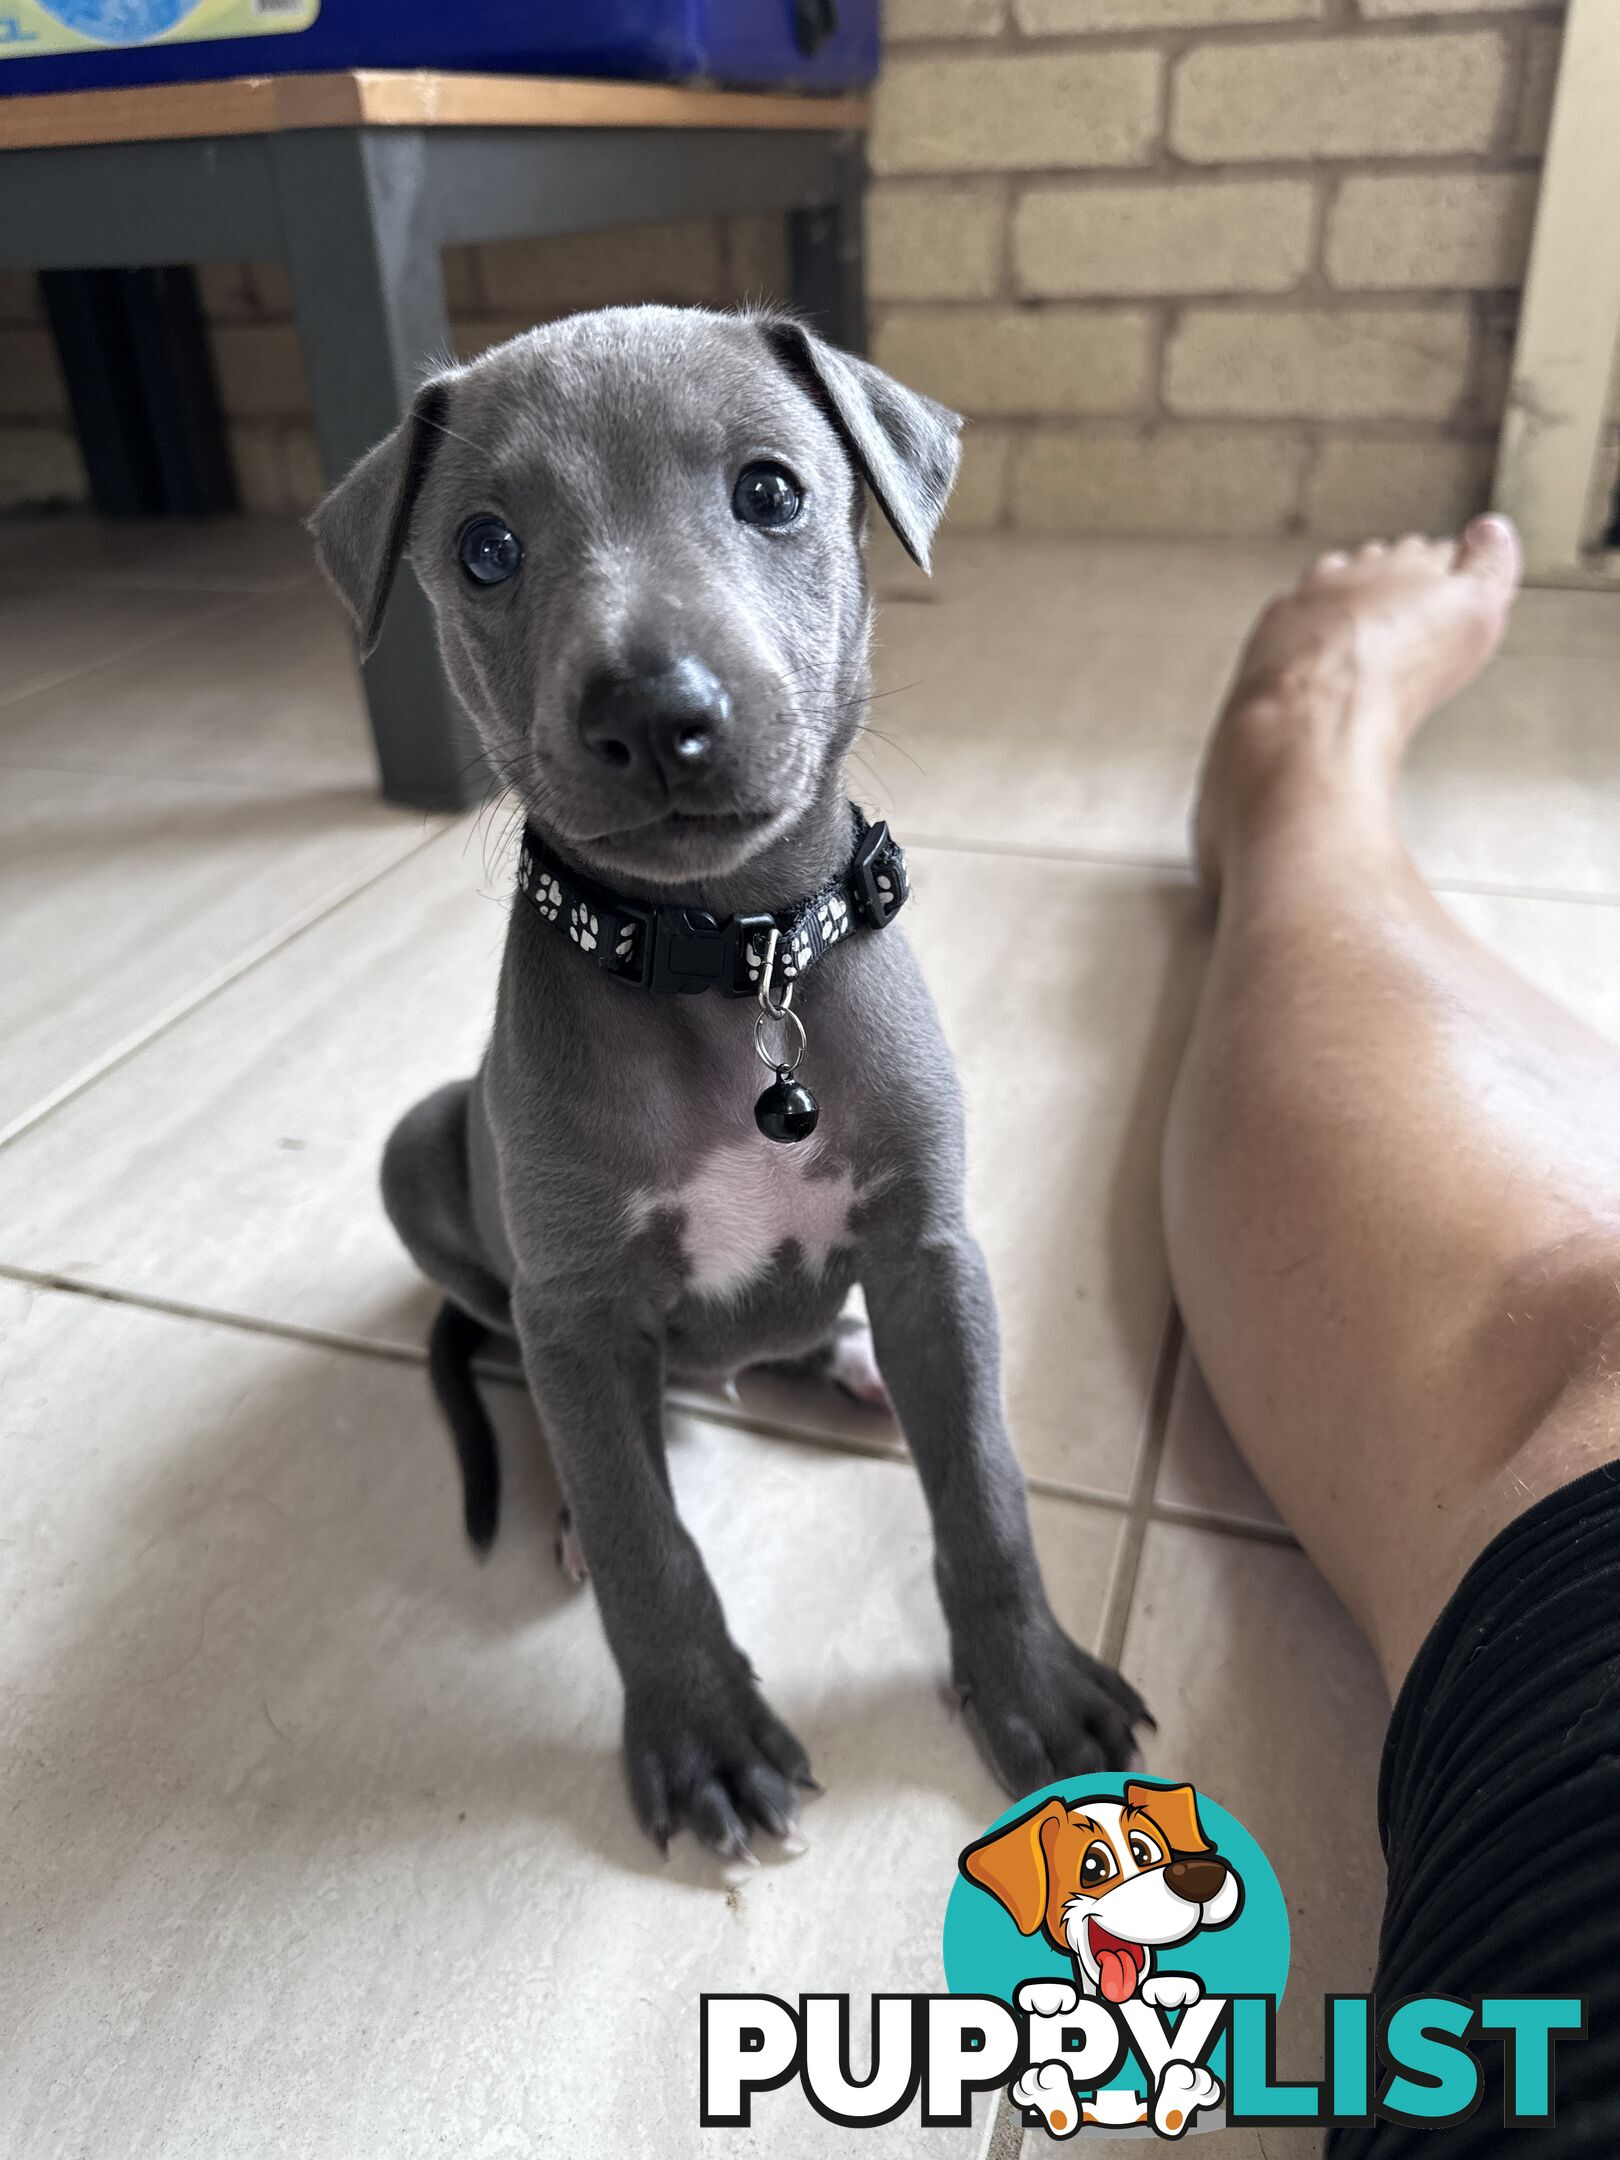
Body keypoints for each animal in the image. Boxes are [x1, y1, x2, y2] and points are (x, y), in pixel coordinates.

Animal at [313, 300, 1157, 1857]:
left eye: (770, 490)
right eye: (485, 547)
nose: (656, 711)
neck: (728, 961)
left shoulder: (931, 1246)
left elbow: (986, 1488)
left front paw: (1031, 1685)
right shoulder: (580, 1308)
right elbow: (651, 1543)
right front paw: (703, 1734)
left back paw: (849, 1365)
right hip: (423, 1153)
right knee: (564, 1396)